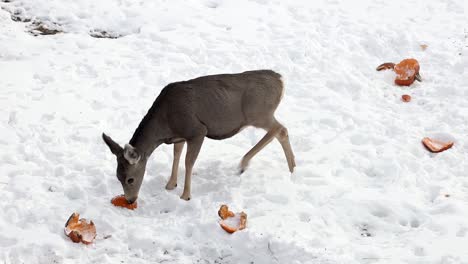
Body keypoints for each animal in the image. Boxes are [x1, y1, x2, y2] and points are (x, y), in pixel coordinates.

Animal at [103, 69, 296, 201]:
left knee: (280, 129)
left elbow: (189, 162)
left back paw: (244, 164)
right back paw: (292, 168)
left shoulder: (197, 130)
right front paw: (170, 184)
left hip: (258, 113)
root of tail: (281, 80)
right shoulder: (180, 136)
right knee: (281, 132)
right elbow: (176, 155)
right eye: (117, 176)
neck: (165, 123)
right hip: (260, 114)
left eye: (130, 179)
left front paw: (185, 195)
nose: (130, 200)